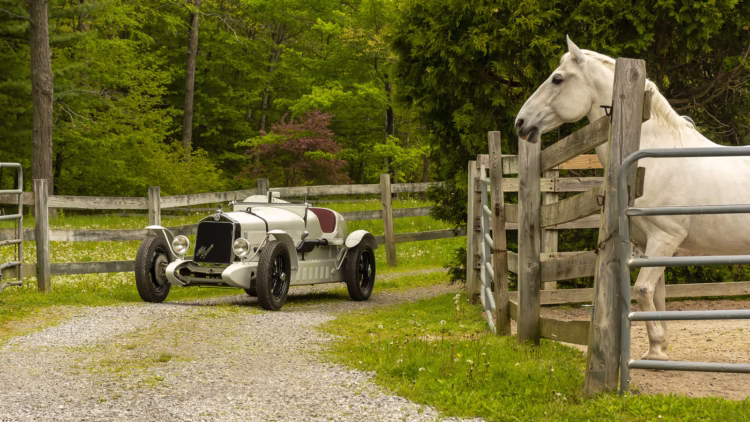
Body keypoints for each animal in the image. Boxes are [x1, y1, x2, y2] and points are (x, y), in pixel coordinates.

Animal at [514, 37, 750, 361]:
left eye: (558, 79)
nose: (520, 122)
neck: (654, 159)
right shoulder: (649, 245)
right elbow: (658, 295)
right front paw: (658, 348)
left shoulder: (665, 239)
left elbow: (642, 290)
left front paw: (657, 351)